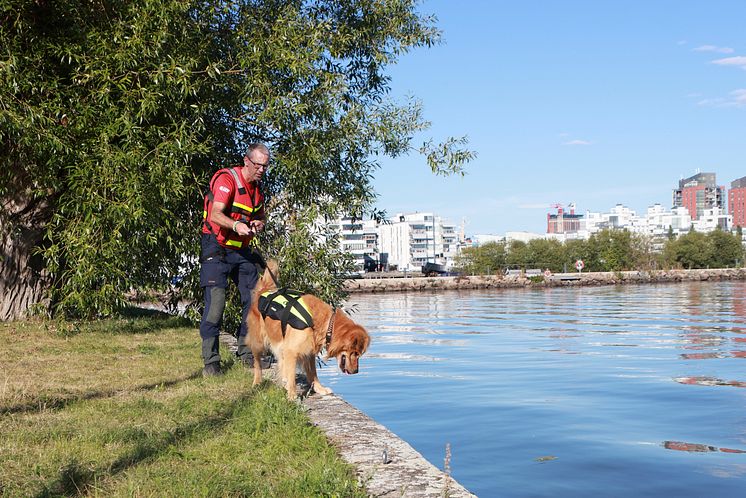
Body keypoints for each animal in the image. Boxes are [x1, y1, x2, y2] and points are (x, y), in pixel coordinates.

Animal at [246, 260, 370, 400]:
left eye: (358, 354)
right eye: (355, 353)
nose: (356, 371)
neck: (324, 322)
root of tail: (264, 291)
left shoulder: (309, 351)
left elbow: (312, 373)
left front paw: (319, 388)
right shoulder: (291, 350)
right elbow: (292, 375)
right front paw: (292, 395)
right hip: (258, 342)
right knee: (257, 363)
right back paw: (257, 382)